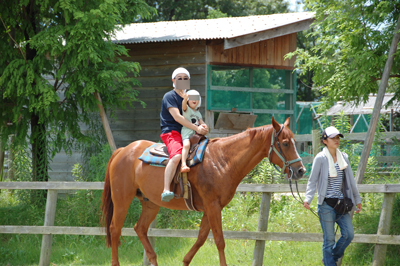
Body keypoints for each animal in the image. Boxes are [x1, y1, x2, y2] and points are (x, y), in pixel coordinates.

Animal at [101, 117, 306, 264]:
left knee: (140, 229)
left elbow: (201, 238)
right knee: (115, 229)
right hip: (122, 199)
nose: (301, 170)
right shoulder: (213, 206)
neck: (222, 160)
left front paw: (185, 261)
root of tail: (122, 150)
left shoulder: (211, 208)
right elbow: (219, 240)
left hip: (150, 203)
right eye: (285, 143)